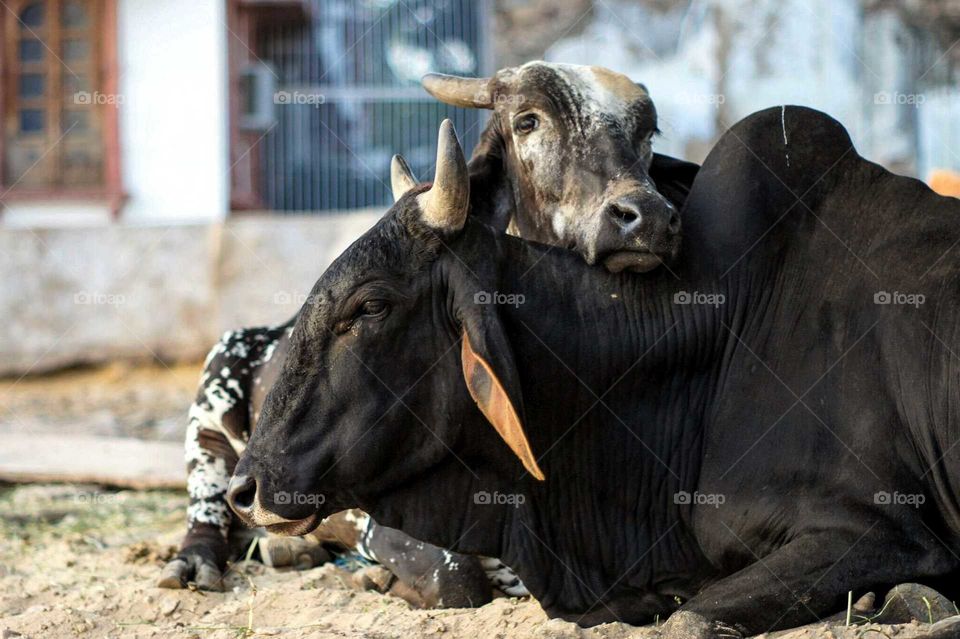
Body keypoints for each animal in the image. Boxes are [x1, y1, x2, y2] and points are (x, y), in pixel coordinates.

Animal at [159, 62, 700, 603]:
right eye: (527, 120)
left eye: (648, 133)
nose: (647, 217)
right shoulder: (377, 518)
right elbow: (457, 581)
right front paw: (378, 576)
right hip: (212, 409)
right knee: (207, 508)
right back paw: (199, 560)